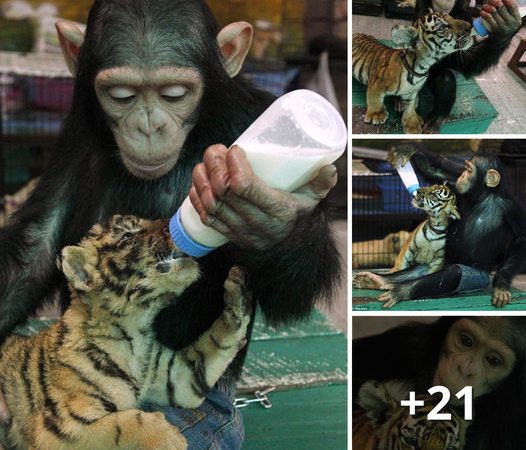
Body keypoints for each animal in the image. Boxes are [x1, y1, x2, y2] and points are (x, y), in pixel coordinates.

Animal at [0, 0, 344, 446]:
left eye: (174, 94)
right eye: (122, 96)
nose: (148, 126)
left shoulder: (251, 115)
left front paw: (276, 220)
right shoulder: (76, 134)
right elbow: (35, 246)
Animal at [354, 144, 526, 310]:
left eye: (469, 170)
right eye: (464, 169)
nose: (462, 175)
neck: (484, 196)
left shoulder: (511, 206)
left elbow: (521, 238)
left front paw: (501, 284)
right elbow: (438, 171)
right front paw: (407, 150)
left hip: (475, 276)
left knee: (453, 272)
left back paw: (400, 290)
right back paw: (378, 280)